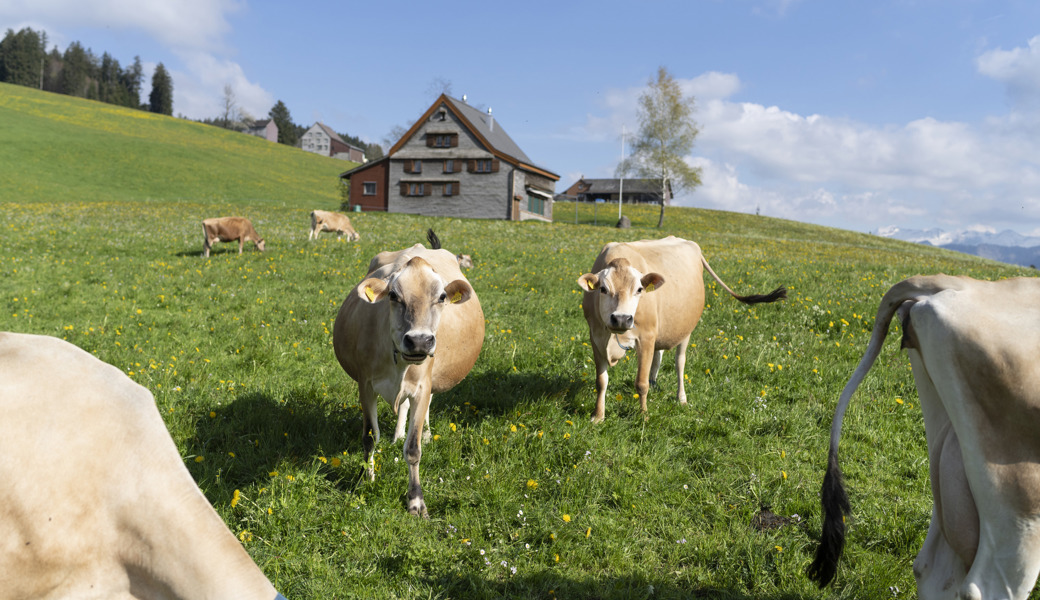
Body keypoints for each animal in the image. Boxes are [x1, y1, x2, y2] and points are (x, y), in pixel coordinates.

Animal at [330, 232, 484, 515]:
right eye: (393, 295)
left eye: (442, 296)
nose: (420, 341)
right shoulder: (365, 386)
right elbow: (370, 437)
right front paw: (367, 479)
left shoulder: (423, 386)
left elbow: (413, 449)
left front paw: (416, 500)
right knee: (402, 406)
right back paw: (398, 434)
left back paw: (425, 432)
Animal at [574, 236, 782, 424]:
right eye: (602, 289)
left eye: (639, 289)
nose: (621, 319)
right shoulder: (596, 337)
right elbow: (601, 381)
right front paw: (598, 416)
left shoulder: (646, 337)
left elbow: (641, 383)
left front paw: (643, 416)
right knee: (658, 356)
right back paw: (654, 382)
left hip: (686, 330)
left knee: (679, 362)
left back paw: (681, 398)